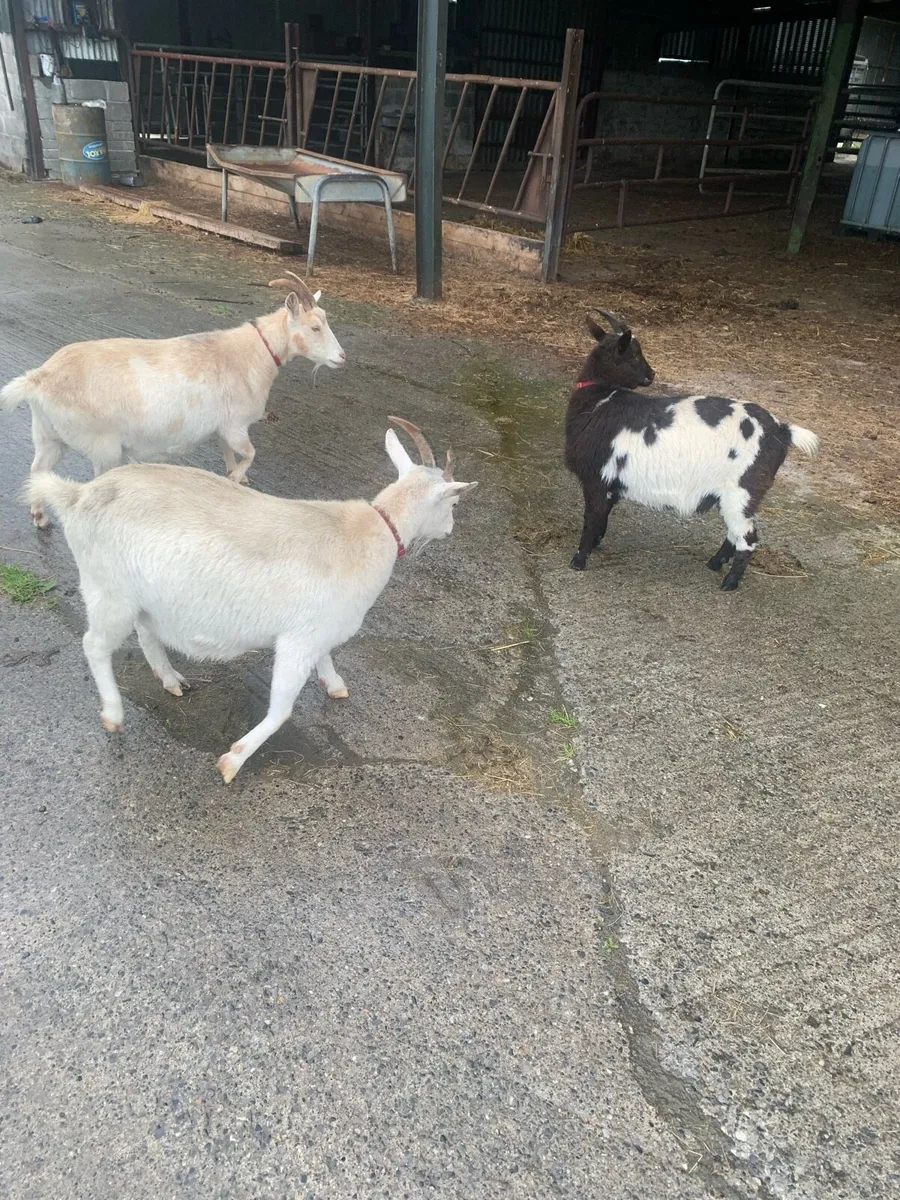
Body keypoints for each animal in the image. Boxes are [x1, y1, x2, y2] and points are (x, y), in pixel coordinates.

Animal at [2, 271, 345, 527]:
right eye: (315, 327)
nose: (341, 357)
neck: (251, 353)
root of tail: (41, 377)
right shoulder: (235, 425)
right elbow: (249, 453)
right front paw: (236, 477)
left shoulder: (222, 428)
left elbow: (228, 453)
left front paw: (235, 478)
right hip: (103, 446)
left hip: (48, 435)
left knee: (38, 469)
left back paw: (39, 516)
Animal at [25, 418, 477, 783]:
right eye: (454, 501)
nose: (451, 530)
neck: (374, 531)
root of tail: (77, 497)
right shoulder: (298, 639)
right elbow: (281, 710)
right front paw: (233, 761)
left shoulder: (320, 629)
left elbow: (327, 656)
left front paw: (335, 686)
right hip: (107, 588)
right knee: (95, 645)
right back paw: (114, 715)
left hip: (136, 594)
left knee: (145, 632)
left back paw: (170, 679)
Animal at [565, 310, 819, 591]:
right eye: (632, 354)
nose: (651, 374)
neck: (599, 401)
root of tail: (781, 431)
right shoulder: (610, 483)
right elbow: (602, 518)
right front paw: (595, 545)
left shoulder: (596, 479)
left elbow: (591, 518)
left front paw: (579, 560)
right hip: (736, 496)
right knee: (735, 533)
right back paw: (715, 563)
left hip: (743, 491)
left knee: (747, 537)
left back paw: (729, 583)